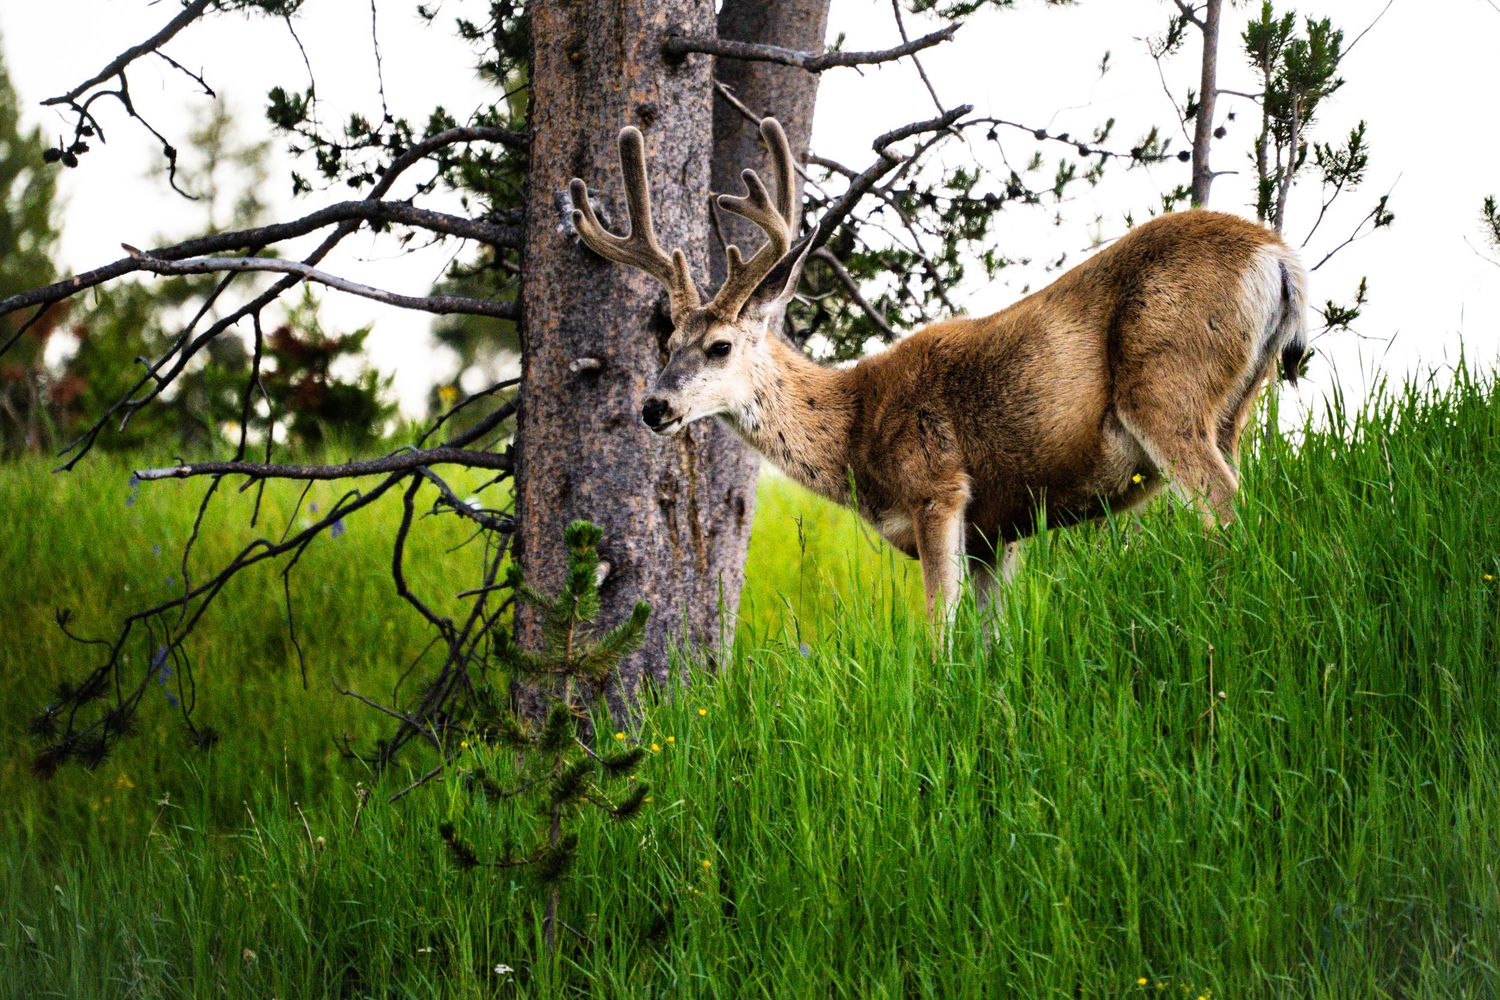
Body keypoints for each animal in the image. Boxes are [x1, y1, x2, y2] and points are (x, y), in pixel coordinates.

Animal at [567, 118, 1307, 632]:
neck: (853, 427)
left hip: (1167, 388)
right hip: (1235, 402)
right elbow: (989, 640)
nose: (654, 407)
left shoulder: (938, 488)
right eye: (667, 341)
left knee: (1227, 506)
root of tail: (1277, 255)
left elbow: (936, 632)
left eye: (719, 346)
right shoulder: (995, 536)